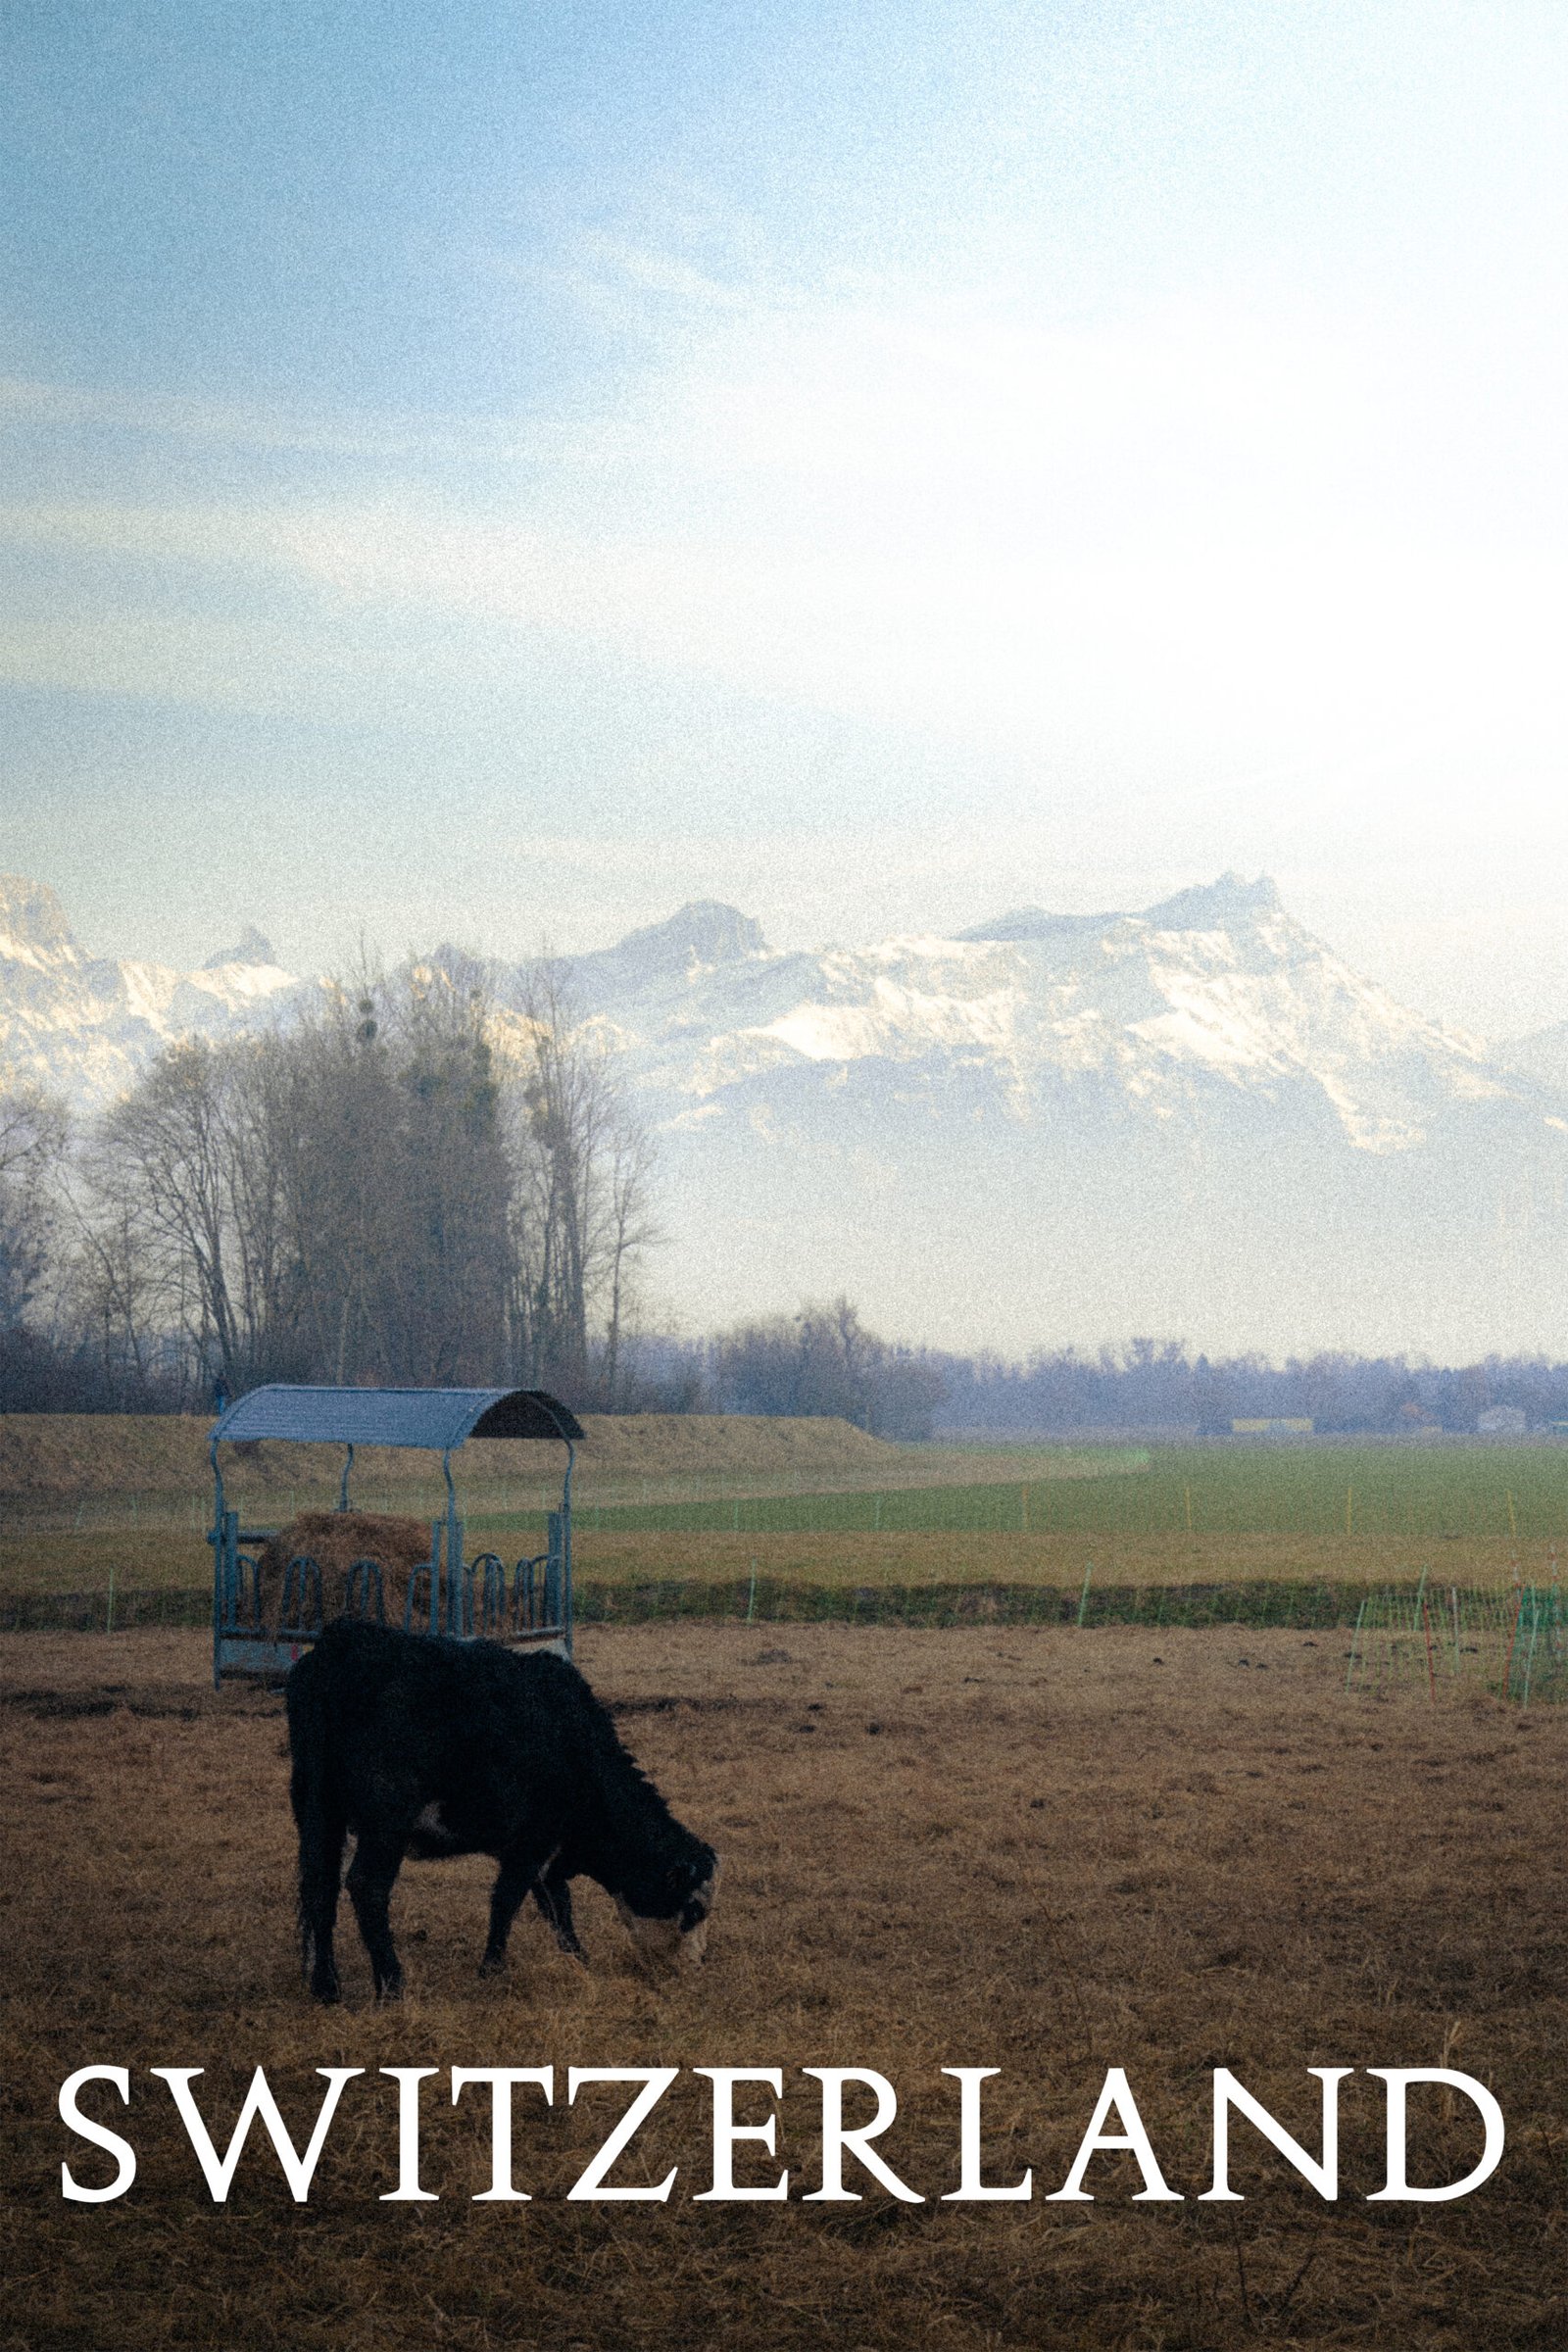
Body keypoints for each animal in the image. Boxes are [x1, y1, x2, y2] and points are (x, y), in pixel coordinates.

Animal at [284, 1620, 719, 2002]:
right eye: (694, 1909)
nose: (698, 1965)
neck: (576, 1748)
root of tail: (343, 1643)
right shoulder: (530, 1843)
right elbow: (508, 1902)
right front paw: (492, 1970)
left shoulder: (547, 1853)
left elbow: (558, 1908)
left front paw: (579, 1960)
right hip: (385, 1824)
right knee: (366, 1887)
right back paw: (391, 1985)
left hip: (318, 1813)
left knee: (320, 1888)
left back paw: (326, 1987)